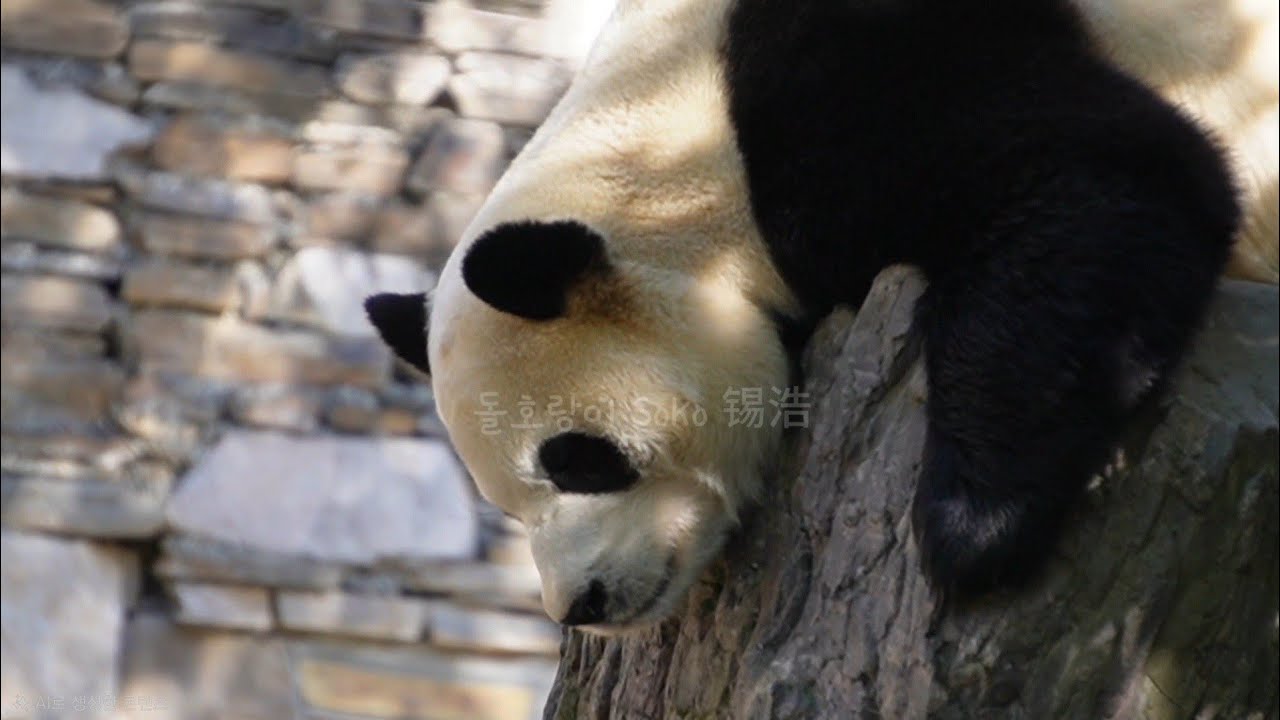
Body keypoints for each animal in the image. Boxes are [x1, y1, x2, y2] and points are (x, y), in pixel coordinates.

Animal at [366, 0, 1242, 634]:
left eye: (579, 460)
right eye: (506, 506)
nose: (580, 605)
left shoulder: (849, 75)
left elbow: (1110, 169)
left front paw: (973, 529)